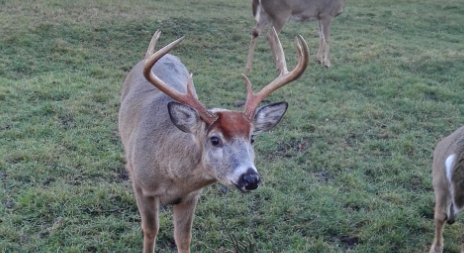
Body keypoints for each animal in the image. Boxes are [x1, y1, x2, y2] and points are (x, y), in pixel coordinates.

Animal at [118, 27, 310, 253]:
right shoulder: (142, 187)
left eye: (252, 138)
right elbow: (150, 230)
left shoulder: (191, 196)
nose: (250, 178)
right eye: (215, 139)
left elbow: (183, 238)